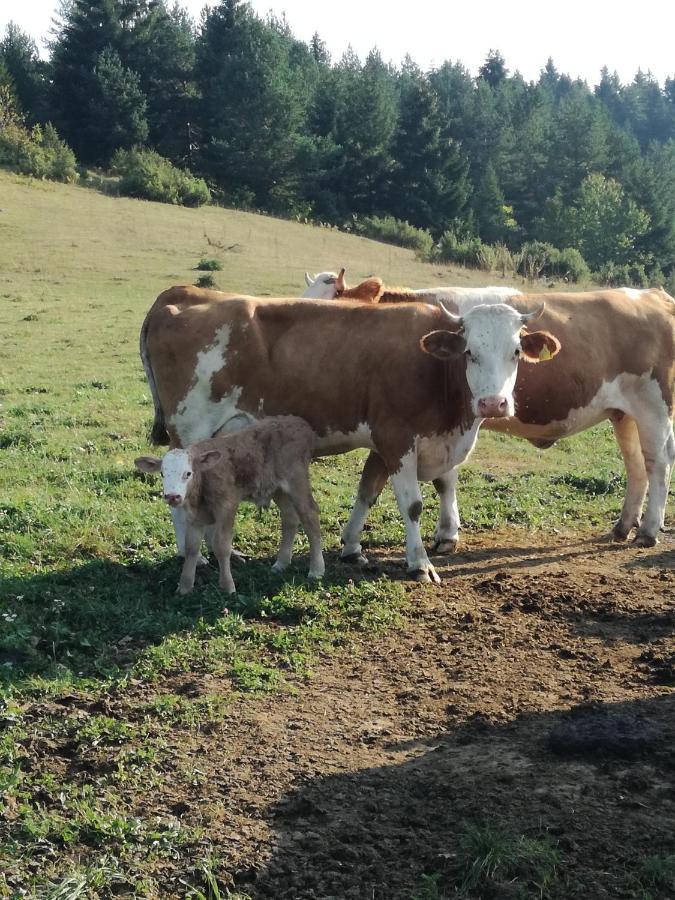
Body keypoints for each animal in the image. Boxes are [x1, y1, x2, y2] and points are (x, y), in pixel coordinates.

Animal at [135, 418, 324, 596]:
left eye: (188, 473)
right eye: (162, 473)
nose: (173, 496)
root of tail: (299, 423)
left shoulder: (227, 506)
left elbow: (221, 545)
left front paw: (227, 586)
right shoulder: (195, 516)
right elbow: (191, 547)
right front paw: (185, 587)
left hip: (297, 480)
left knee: (310, 515)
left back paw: (316, 569)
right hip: (278, 488)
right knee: (290, 517)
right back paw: (281, 563)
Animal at [316, 274, 675, 552]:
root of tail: (653, 294)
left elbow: (441, 480)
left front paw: (446, 536)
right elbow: (385, 482)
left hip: (654, 408)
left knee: (657, 463)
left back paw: (647, 531)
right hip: (624, 414)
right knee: (636, 465)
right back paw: (623, 525)